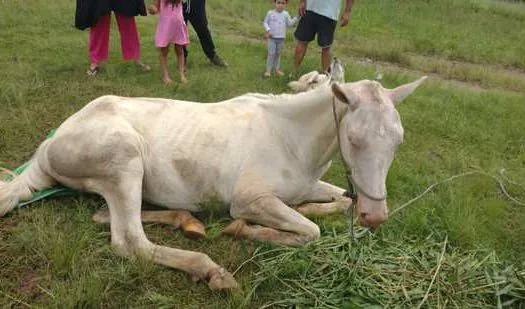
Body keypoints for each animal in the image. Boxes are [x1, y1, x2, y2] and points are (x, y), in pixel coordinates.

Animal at [0, 74, 426, 288]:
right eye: (354, 139)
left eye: (400, 140)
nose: (376, 217)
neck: (289, 137)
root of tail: (47, 147)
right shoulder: (250, 199)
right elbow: (309, 230)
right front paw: (245, 230)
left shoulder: (309, 187)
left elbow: (337, 201)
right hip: (125, 162)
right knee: (129, 240)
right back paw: (210, 270)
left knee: (105, 217)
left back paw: (189, 222)